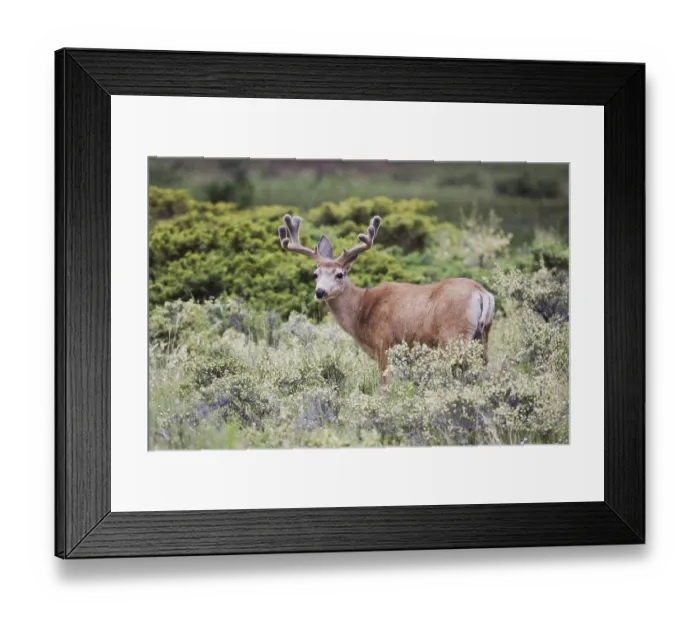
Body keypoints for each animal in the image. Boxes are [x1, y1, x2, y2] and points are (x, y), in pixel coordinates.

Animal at [278, 214, 496, 385]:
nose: (320, 292)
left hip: (454, 336)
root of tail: (481, 293)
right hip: (482, 336)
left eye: (339, 274)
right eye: (315, 274)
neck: (362, 310)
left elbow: (384, 386)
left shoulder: (384, 345)